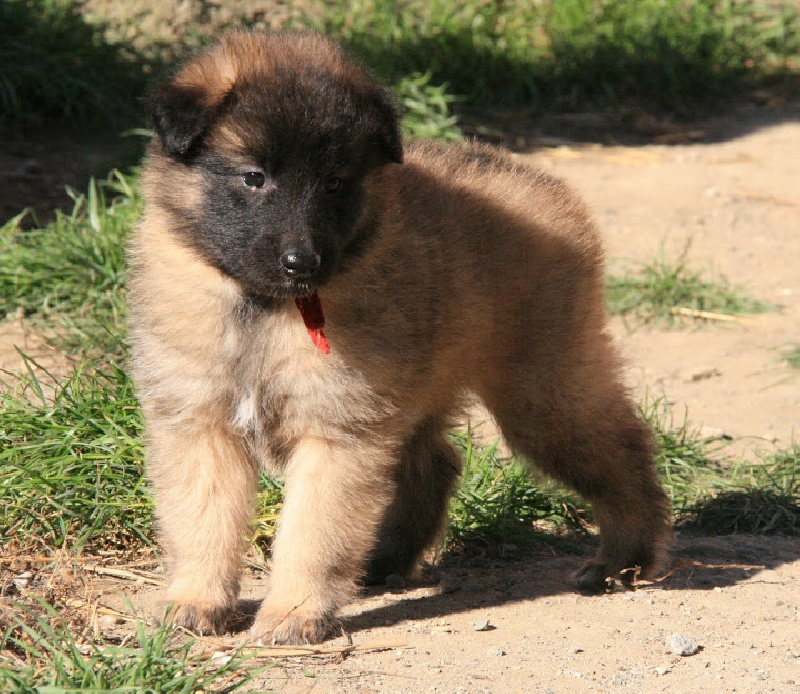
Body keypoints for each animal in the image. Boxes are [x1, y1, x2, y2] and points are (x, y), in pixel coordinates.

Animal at [128, 28, 672, 648]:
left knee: (623, 452)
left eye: (335, 182)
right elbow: (203, 521)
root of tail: (536, 179)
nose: (302, 262)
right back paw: (383, 560)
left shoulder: (337, 432)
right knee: (435, 463)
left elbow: (311, 533)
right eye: (254, 176)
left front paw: (294, 611)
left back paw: (622, 560)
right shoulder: (200, 422)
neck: (264, 308)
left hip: (543, 392)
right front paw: (196, 600)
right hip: (423, 387)